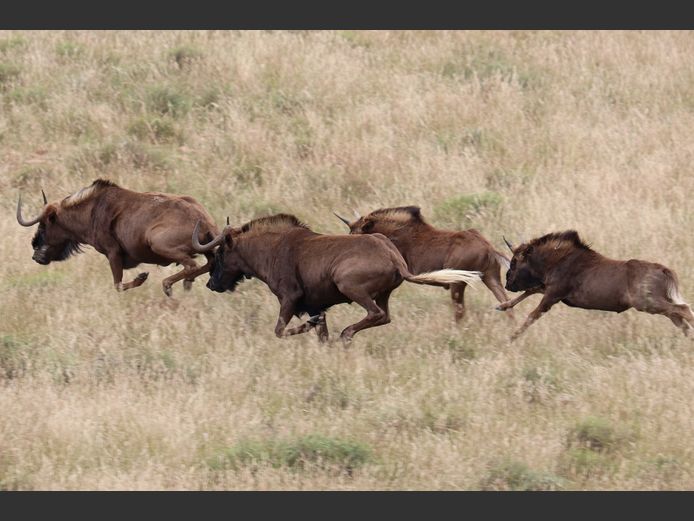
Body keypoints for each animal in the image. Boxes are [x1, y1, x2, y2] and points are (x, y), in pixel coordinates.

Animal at [16, 178, 220, 296]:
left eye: (44, 226)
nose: (36, 256)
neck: (91, 211)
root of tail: (205, 222)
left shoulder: (112, 253)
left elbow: (118, 285)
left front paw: (141, 277)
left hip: (157, 243)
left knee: (191, 265)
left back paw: (169, 285)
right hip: (207, 249)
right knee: (208, 263)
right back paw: (186, 283)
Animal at [191, 214, 482, 342]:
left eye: (220, 253)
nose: (211, 284)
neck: (271, 249)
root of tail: (395, 258)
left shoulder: (290, 299)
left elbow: (280, 330)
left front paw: (307, 327)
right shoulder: (316, 305)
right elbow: (321, 334)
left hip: (349, 284)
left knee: (374, 314)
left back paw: (347, 334)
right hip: (383, 294)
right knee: (384, 316)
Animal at [334, 206, 512, 322]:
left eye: (354, 233)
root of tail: (489, 248)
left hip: (458, 283)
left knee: (460, 311)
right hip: (490, 277)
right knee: (507, 304)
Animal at [497, 230, 694, 340]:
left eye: (514, 261)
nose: (507, 282)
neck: (558, 259)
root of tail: (665, 270)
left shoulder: (553, 294)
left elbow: (532, 314)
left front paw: (511, 338)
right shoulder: (550, 289)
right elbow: (530, 290)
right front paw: (503, 306)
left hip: (647, 303)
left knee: (684, 309)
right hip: (658, 305)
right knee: (680, 320)